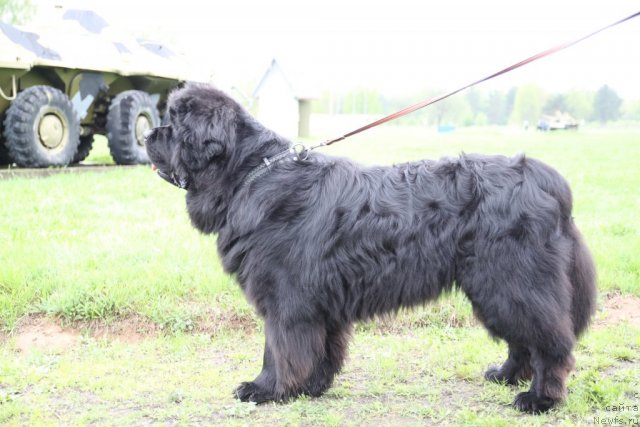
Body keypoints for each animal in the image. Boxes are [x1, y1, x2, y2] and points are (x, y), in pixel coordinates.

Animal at [144, 83, 596, 414]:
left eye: (174, 125)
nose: (147, 133)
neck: (251, 174)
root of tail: (544, 177)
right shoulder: (320, 301)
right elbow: (322, 348)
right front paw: (312, 387)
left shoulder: (286, 299)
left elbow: (279, 349)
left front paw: (264, 389)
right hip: (495, 287)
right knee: (523, 339)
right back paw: (505, 375)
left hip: (511, 281)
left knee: (550, 342)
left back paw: (539, 398)